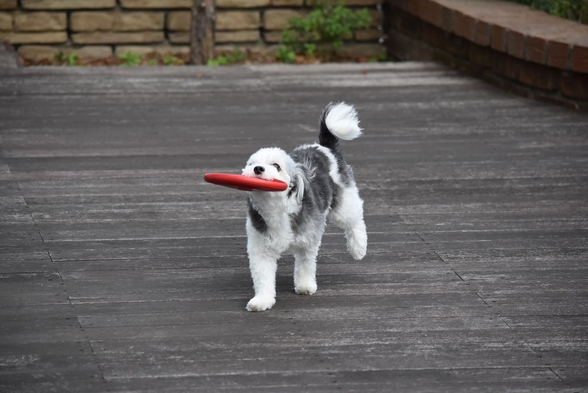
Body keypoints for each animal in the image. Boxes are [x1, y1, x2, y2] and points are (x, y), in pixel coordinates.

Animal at [241, 102, 366, 310]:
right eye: (252, 164)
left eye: (276, 166)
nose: (258, 169)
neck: (276, 207)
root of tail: (324, 147)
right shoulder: (261, 248)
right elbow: (263, 276)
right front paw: (262, 300)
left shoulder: (308, 239)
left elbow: (305, 264)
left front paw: (305, 286)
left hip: (342, 203)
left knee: (355, 220)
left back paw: (358, 248)